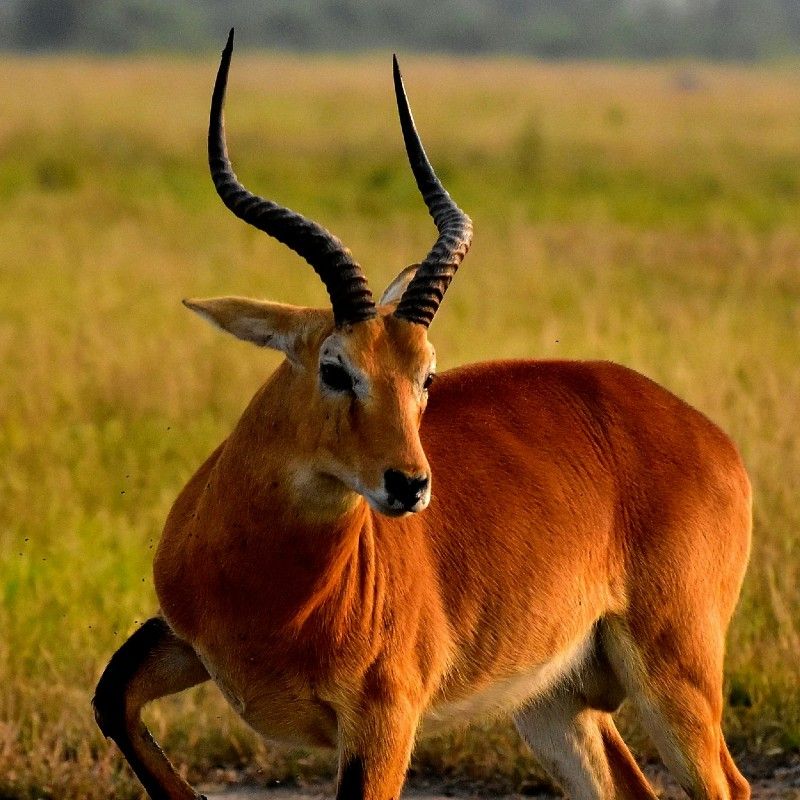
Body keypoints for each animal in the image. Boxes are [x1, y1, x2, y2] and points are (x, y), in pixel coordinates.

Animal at [93, 30, 752, 800]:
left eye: (426, 376)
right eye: (335, 367)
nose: (409, 486)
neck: (273, 587)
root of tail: (709, 436)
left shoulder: (384, 722)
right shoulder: (180, 637)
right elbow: (111, 697)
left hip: (674, 672)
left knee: (726, 785)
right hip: (554, 701)